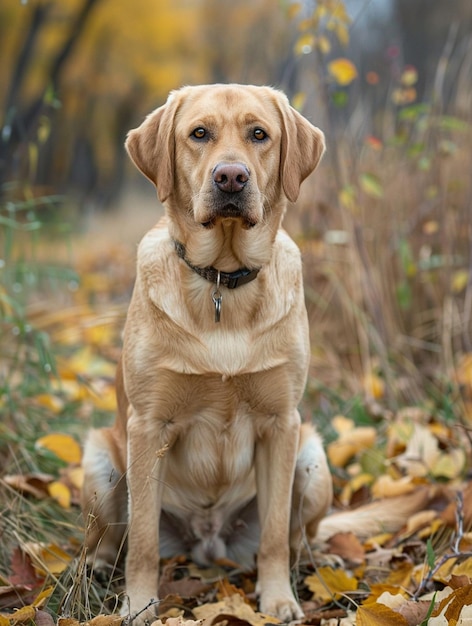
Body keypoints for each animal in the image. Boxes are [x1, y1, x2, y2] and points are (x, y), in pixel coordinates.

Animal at [80, 84, 432, 624]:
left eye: (259, 135)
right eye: (198, 133)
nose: (231, 176)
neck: (223, 282)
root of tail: (208, 545)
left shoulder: (281, 424)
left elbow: (273, 535)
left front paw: (278, 599)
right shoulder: (148, 426)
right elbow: (140, 541)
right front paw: (139, 606)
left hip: (313, 461)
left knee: (298, 536)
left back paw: (320, 562)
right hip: (100, 462)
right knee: (113, 536)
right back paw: (98, 566)